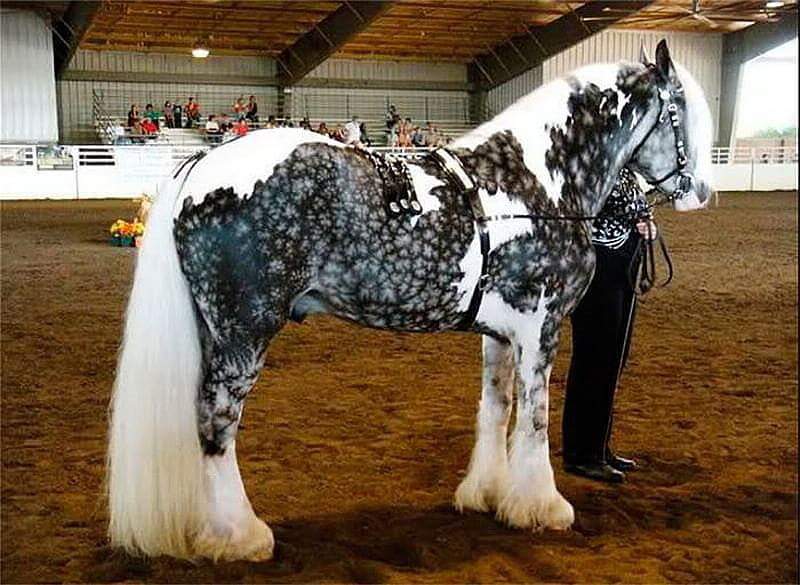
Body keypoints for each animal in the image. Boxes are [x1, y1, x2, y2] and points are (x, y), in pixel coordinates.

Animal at [107, 40, 713, 561]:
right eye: (683, 111)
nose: (702, 192)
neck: (535, 181)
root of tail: (200, 168)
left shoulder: (500, 335)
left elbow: (496, 409)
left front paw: (487, 494)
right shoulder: (540, 329)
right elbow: (535, 418)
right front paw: (541, 506)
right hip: (243, 333)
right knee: (216, 421)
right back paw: (240, 534)